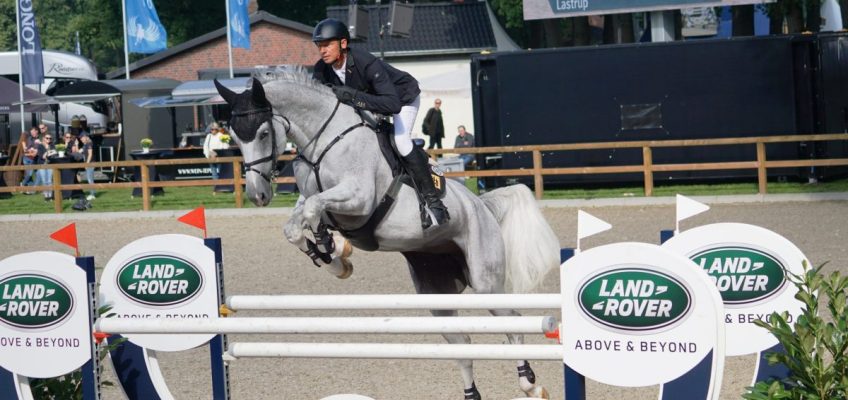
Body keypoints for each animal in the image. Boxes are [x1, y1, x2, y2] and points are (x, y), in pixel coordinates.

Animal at [215, 70, 564, 398]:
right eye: (234, 137)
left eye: (262, 133)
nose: (258, 195)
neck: (324, 139)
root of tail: (484, 206)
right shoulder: (318, 200)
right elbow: (297, 223)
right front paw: (333, 256)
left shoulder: (359, 199)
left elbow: (314, 209)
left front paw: (334, 252)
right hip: (437, 294)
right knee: (462, 343)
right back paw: (472, 394)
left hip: (486, 283)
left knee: (513, 324)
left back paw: (531, 385)